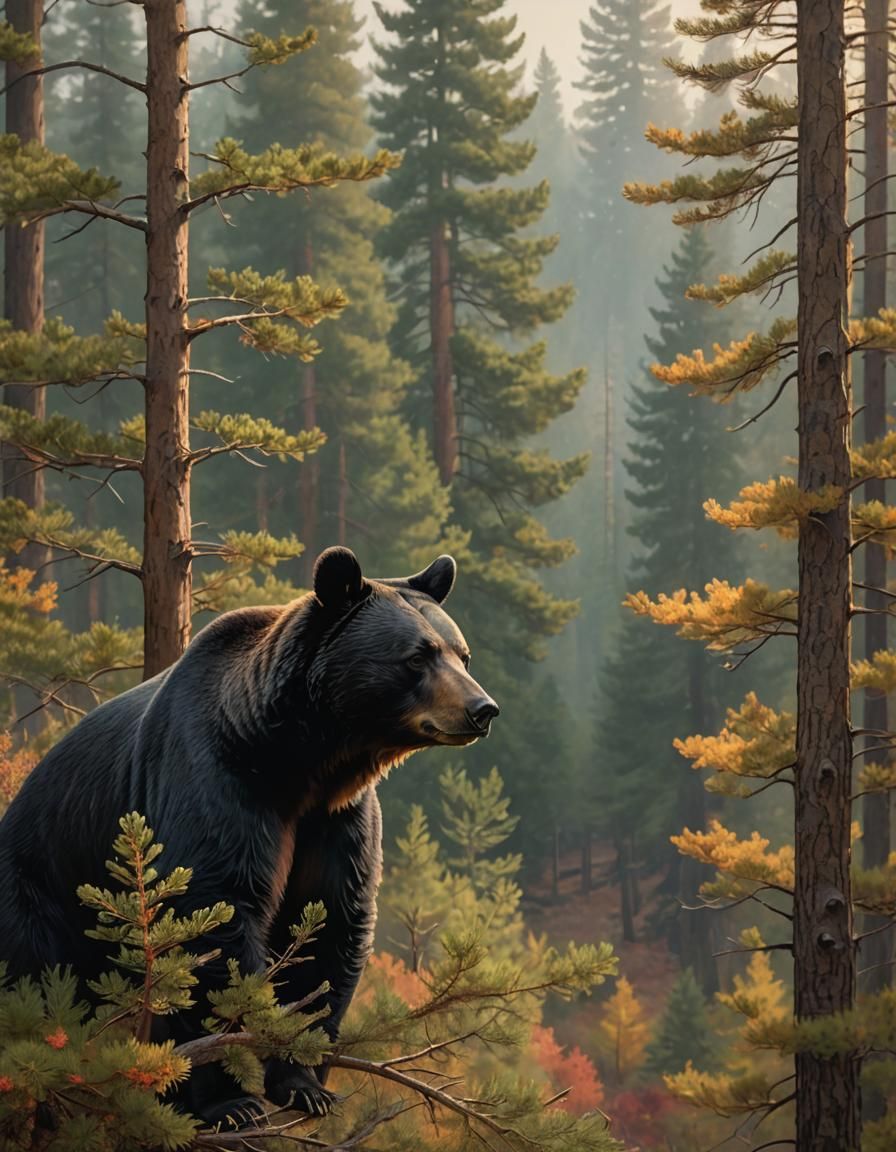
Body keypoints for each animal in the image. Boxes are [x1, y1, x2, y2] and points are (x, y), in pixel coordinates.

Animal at [0, 546, 498, 1126]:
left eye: (461, 655)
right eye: (417, 657)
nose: (482, 709)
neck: (302, 760)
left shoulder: (336, 820)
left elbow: (328, 926)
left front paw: (305, 1083)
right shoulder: (217, 780)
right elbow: (215, 920)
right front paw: (230, 1101)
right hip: (38, 891)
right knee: (36, 978)